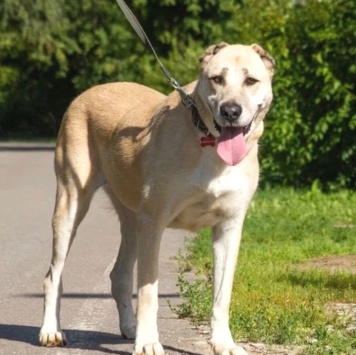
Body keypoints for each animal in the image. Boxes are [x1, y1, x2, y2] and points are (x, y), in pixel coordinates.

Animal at [39, 42, 276, 355]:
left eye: (251, 81)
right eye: (217, 79)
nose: (230, 111)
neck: (208, 143)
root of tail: (87, 92)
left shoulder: (229, 227)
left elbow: (222, 294)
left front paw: (224, 343)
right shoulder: (154, 222)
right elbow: (149, 292)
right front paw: (149, 342)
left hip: (131, 218)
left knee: (119, 274)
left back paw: (129, 328)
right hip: (71, 203)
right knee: (54, 274)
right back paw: (51, 331)